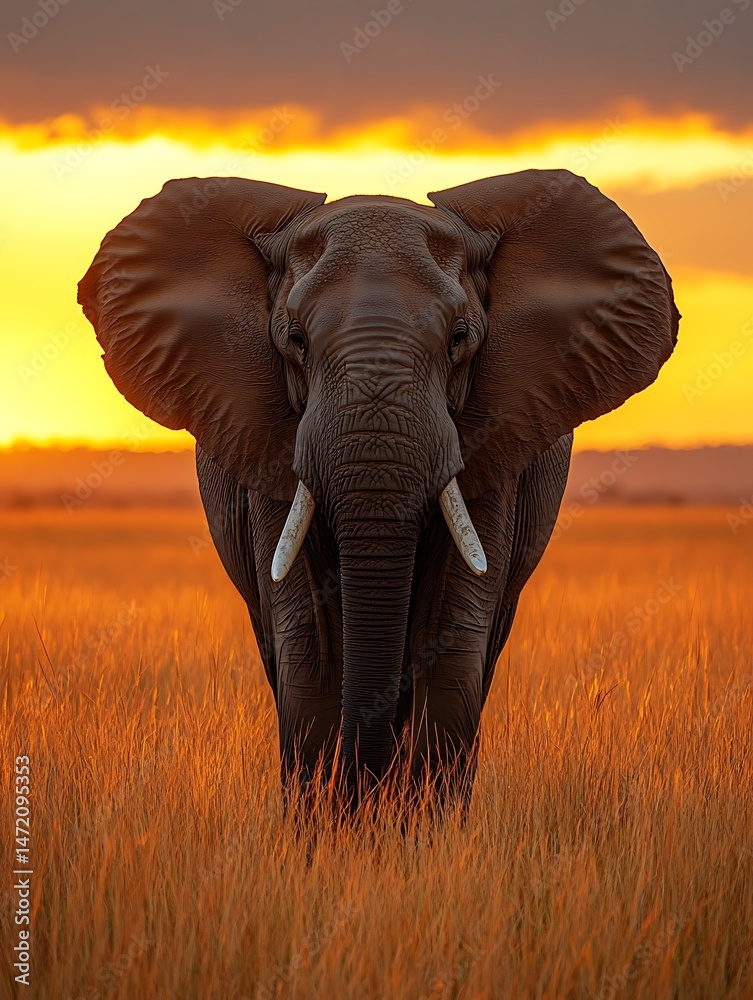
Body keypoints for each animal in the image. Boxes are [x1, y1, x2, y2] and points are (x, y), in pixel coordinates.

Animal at [78, 169, 679, 806]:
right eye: (294, 339)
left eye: (460, 337)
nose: (366, 789)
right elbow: (310, 645)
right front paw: (329, 825)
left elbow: (450, 638)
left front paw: (417, 827)